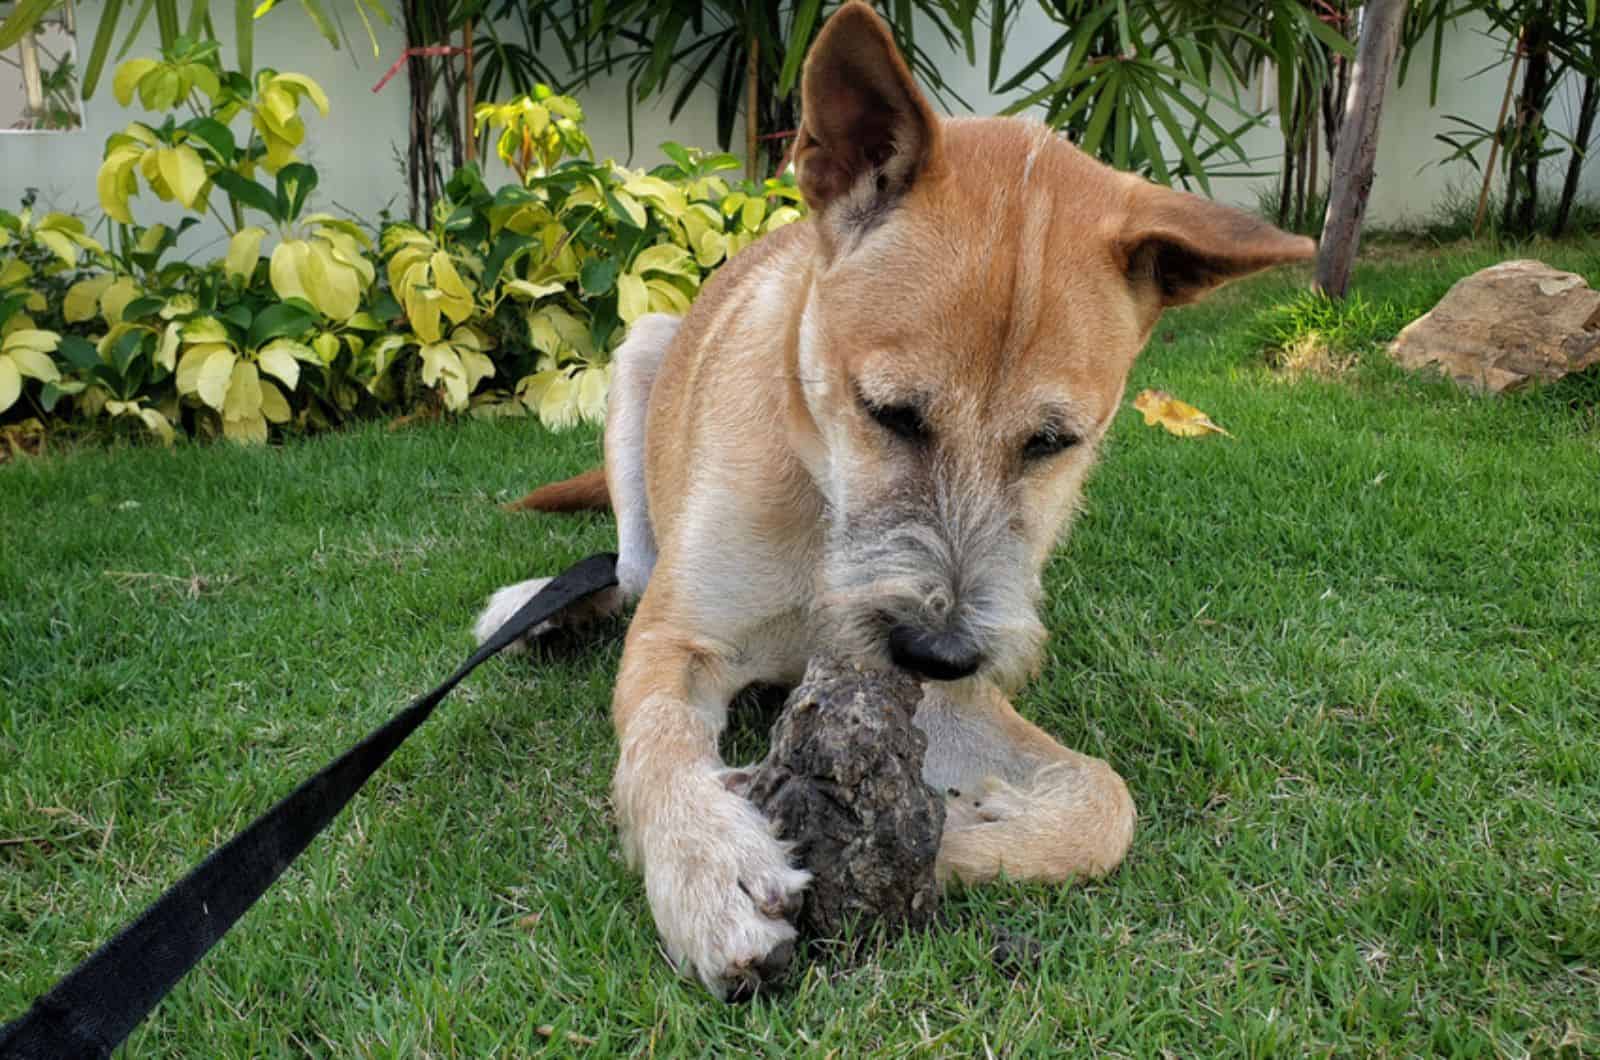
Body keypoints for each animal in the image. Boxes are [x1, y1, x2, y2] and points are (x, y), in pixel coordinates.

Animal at [473, 0, 1312, 1005]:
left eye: (1054, 443)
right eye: (891, 413)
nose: (938, 651)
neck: (825, 509)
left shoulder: (941, 698)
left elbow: (1106, 804)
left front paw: (961, 839)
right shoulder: (680, 639)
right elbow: (659, 744)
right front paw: (709, 868)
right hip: (640, 354)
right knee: (628, 571)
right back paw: (537, 607)